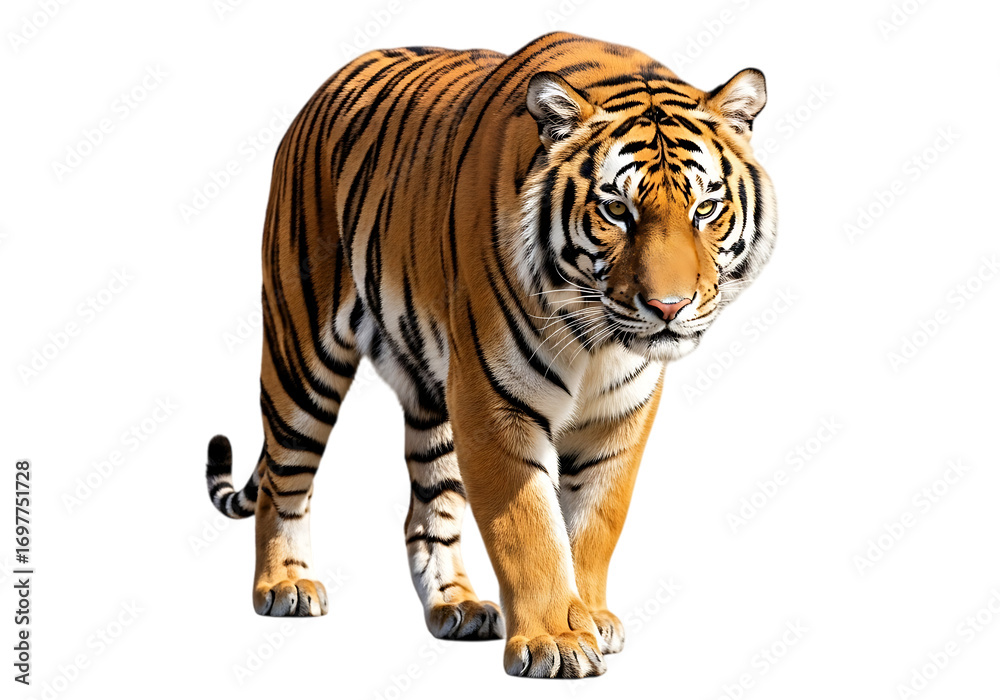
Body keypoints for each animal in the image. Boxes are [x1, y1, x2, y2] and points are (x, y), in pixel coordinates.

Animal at [204, 31, 776, 678]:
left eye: (705, 209)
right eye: (616, 211)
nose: (669, 306)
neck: (596, 340)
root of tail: (322, 89)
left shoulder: (619, 414)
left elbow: (594, 522)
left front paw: (591, 618)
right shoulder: (494, 402)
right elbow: (529, 528)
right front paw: (557, 640)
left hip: (433, 388)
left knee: (426, 511)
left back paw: (457, 606)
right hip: (303, 353)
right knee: (284, 480)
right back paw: (284, 586)